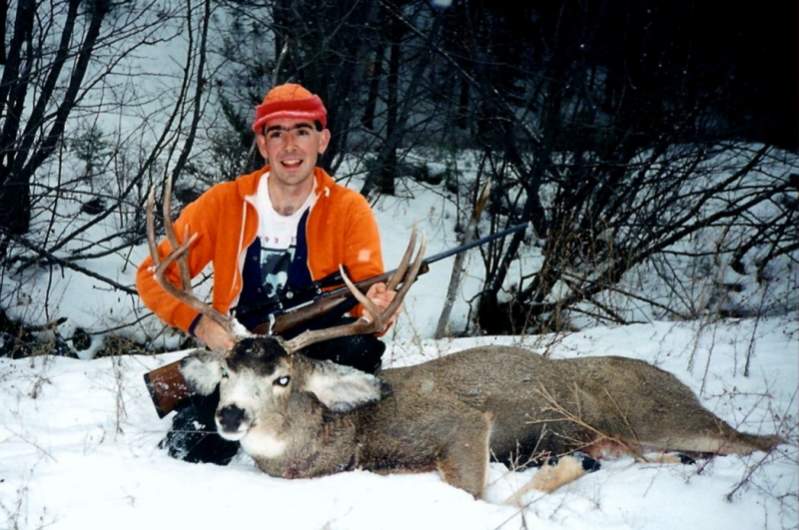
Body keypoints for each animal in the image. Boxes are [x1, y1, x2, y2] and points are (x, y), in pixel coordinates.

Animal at [142, 184, 780, 498]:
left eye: (283, 378)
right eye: (226, 372)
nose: (229, 416)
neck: (350, 438)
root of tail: (678, 383)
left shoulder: (465, 425)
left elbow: (478, 497)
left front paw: (565, 472)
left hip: (663, 415)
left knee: (760, 440)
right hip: (645, 434)